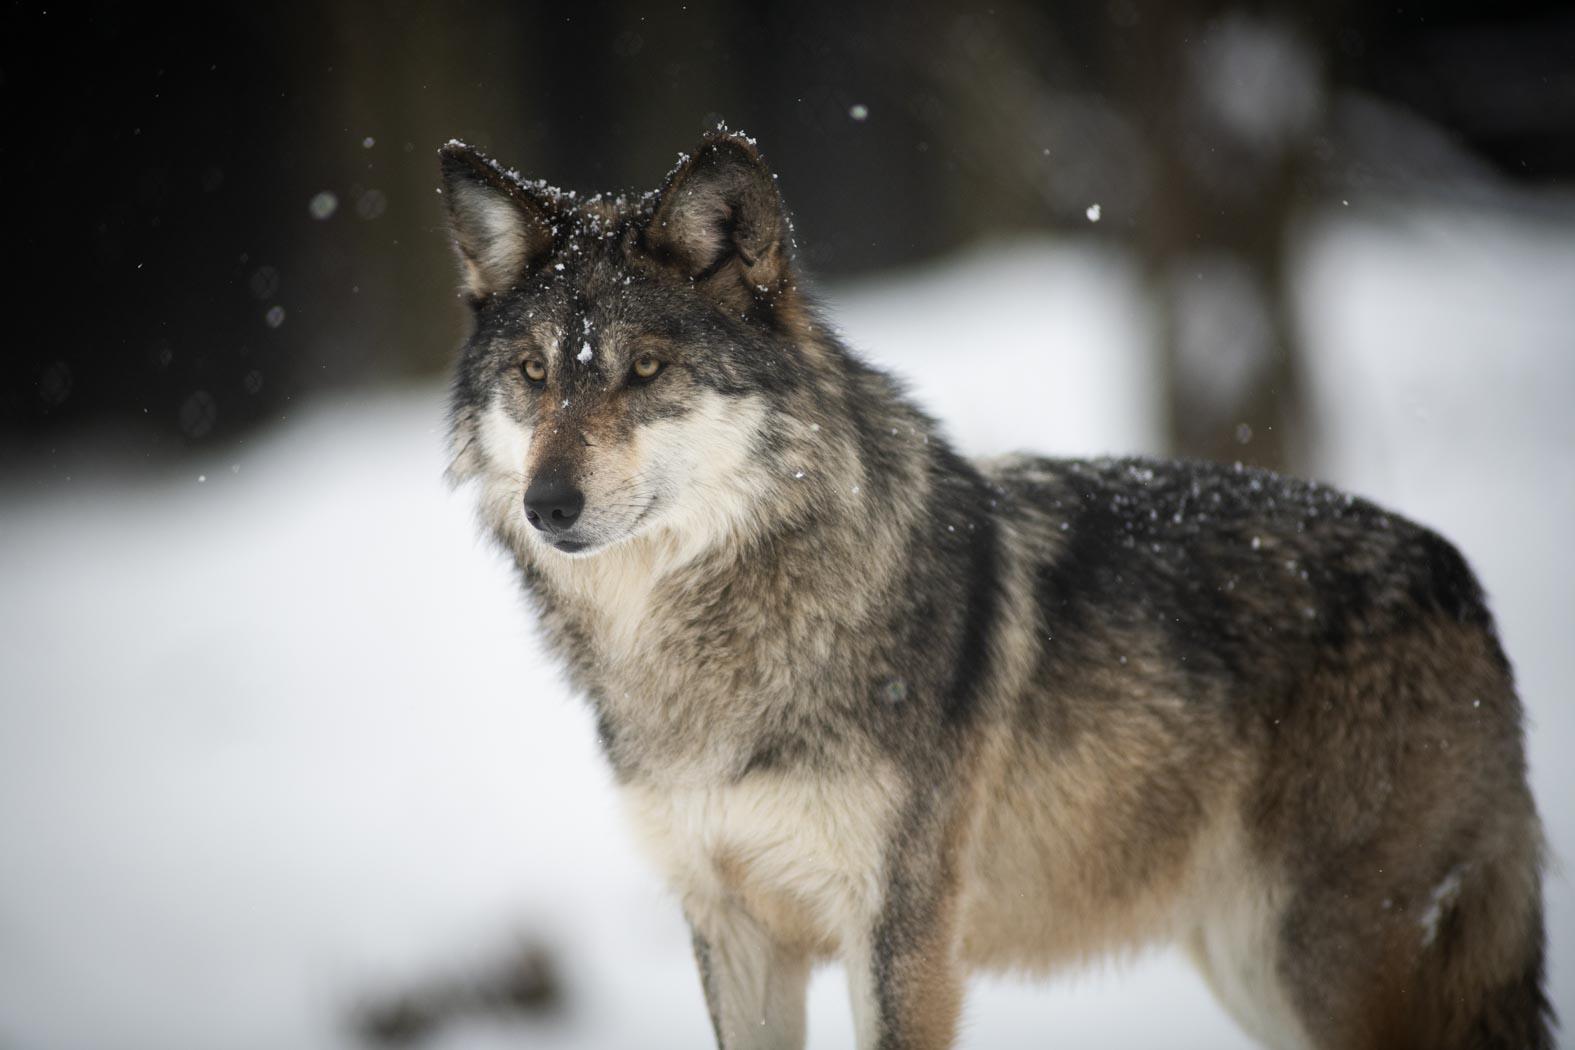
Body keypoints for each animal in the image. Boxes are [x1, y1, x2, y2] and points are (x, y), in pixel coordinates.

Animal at [441, 131, 1549, 1050]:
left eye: (645, 369)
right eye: (535, 374)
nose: (548, 504)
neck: (703, 645)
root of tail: (1460, 579)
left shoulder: (903, 936)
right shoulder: (734, 929)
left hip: (1313, 964)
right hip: (1252, 969)